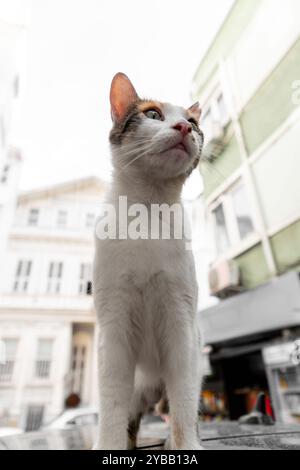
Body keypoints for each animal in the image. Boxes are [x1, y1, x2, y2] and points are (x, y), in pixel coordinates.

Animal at [93, 71, 204, 450]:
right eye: (153, 114)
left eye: (194, 123)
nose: (184, 127)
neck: (148, 211)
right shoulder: (113, 326)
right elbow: (111, 404)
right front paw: (109, 445)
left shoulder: (181, 320)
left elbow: (184, 399)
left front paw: (185, 445)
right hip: (136, 385)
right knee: (129, 413)